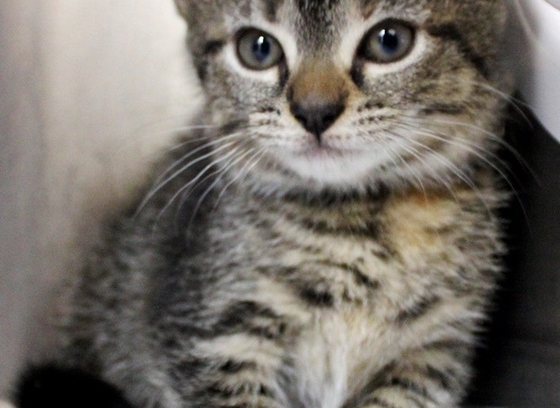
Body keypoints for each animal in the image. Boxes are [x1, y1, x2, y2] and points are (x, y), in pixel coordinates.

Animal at [14, 0, 512, 408]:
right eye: (258, 49)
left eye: (390, 41)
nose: (315, 111)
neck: (364, 217)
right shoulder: (212, 337)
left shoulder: (431, 353)